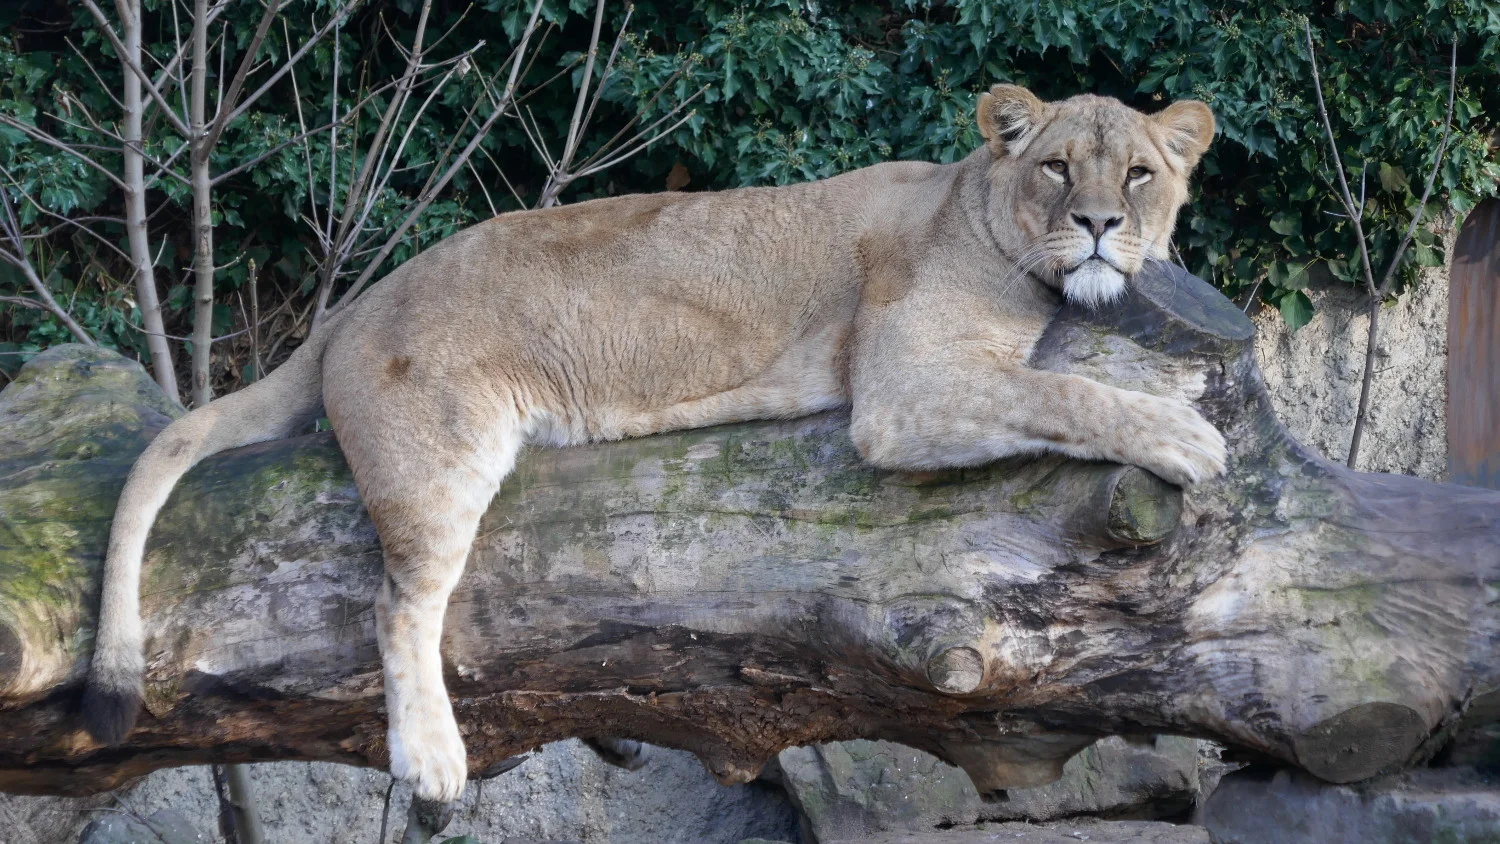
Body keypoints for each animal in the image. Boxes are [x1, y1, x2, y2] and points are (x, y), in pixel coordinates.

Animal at [84, 85, 1226, 804]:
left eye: (1137, 174)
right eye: (1057, 169)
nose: (1097, 225)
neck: (973, 204)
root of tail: (363, 298)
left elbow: (1056, 383)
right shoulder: (902, 393)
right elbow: (1066, 389)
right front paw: (1188, 438)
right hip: (439, 459)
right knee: (397, 602)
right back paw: (434, 762)